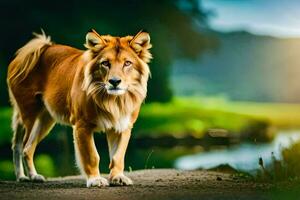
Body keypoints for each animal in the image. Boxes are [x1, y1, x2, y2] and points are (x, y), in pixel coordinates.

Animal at [6, 28, 152, 187]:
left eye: (127, 63)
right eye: (105, 63)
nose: (114, 81)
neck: (114, 101)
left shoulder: (123, 126)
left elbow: (117, 156)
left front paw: (118, 177)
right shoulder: (82, 125)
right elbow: (92, 156)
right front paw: (95, 180)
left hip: (45, 119)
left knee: (24, 147)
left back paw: (27, 176)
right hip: (29, 114)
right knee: (25, 146)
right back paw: (29, 177)